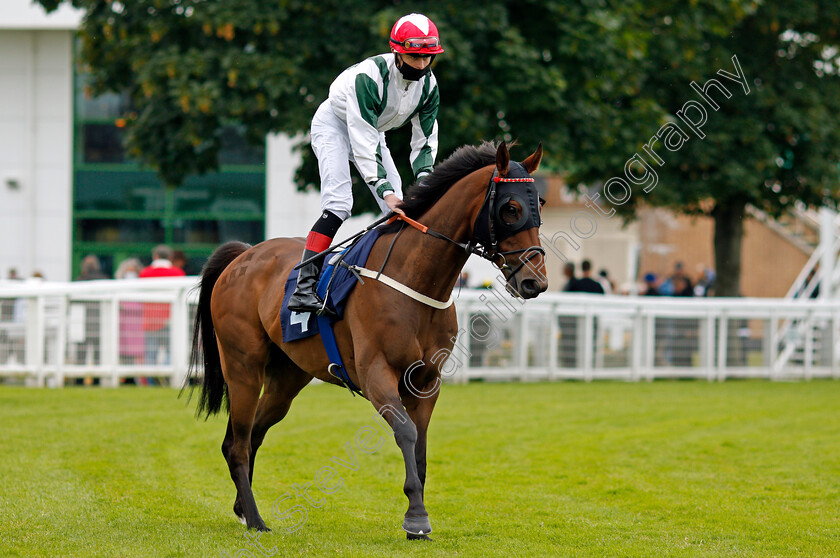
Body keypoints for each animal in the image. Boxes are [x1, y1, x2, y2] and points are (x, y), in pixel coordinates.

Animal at [187, 142, 548, 540]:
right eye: (511, 209)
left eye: (540, 204)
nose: (535, 282)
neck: (415, 279)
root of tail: (243, 255)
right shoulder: (377, 373)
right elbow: (406, 432)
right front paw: (416, 517)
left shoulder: (427, 381)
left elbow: (421, 446)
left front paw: (417, 519)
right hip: (243, 367)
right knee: (236, 444)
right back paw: (255, 519)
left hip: (287, 378)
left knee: (252, 435)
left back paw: (242, 508)